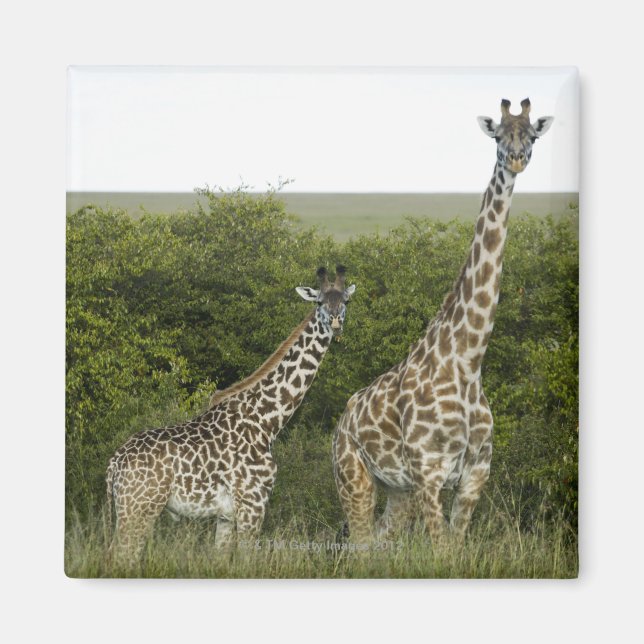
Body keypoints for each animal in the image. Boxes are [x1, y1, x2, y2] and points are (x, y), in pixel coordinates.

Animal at [106, 266, 356, 564]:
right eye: (319, 302)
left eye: (346, 300)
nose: (336, 322)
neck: (267, 420)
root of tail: (114, 465)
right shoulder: (253, 502)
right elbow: (248, 560)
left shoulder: (226, 515)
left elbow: (221, 560)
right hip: (140, 508)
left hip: (128, 509)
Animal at [332, 98, 554, 544]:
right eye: (499, 135)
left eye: (533, 136)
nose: (517, 159)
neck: (468, 362)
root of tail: (342, 422)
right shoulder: (429, 474)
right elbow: (440, 550)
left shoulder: (474, 476)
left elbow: (456, 548)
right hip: (353, 477)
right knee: (360, 544)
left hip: (396, 491)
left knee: (378, 541)